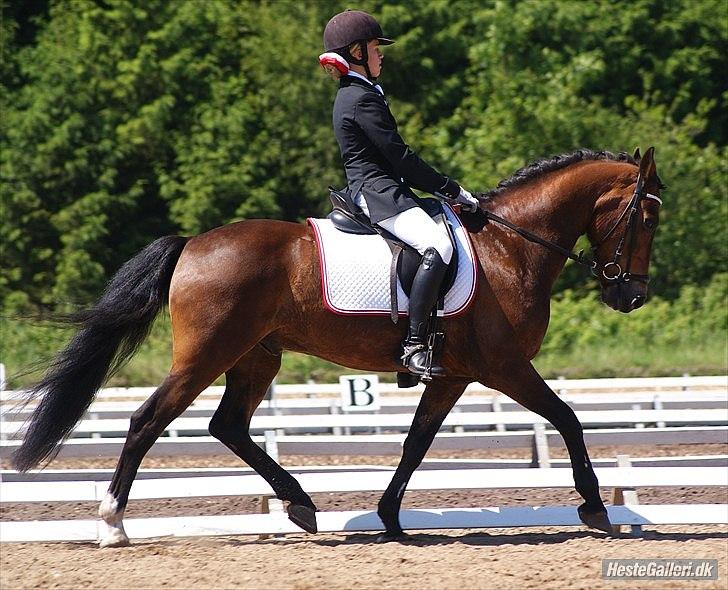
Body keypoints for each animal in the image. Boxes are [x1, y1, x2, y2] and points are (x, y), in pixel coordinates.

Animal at [11, 146, 664, 547]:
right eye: (649, 218)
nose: (630, 296)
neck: (510, 248)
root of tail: (193, 243)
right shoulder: (505, 367)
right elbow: (568, 417)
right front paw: (595, 507)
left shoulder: (454, 374)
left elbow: (417, 443)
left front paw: (390, 516)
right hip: (208, 354)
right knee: (148, 420)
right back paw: (112, 524)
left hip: (257, 355)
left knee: (228, 426)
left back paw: (300, 505)